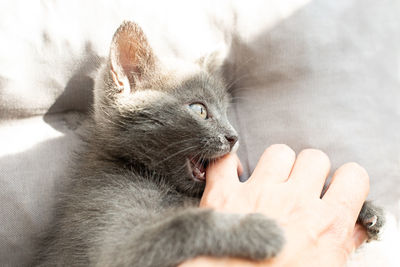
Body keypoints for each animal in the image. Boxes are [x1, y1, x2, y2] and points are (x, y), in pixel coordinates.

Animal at [36, 21, 382, 267]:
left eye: (226, 112)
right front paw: (255, 230)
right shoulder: (110, 232)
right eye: (199, 110)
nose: (234, 136)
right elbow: (182, 224)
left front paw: (366, 208)